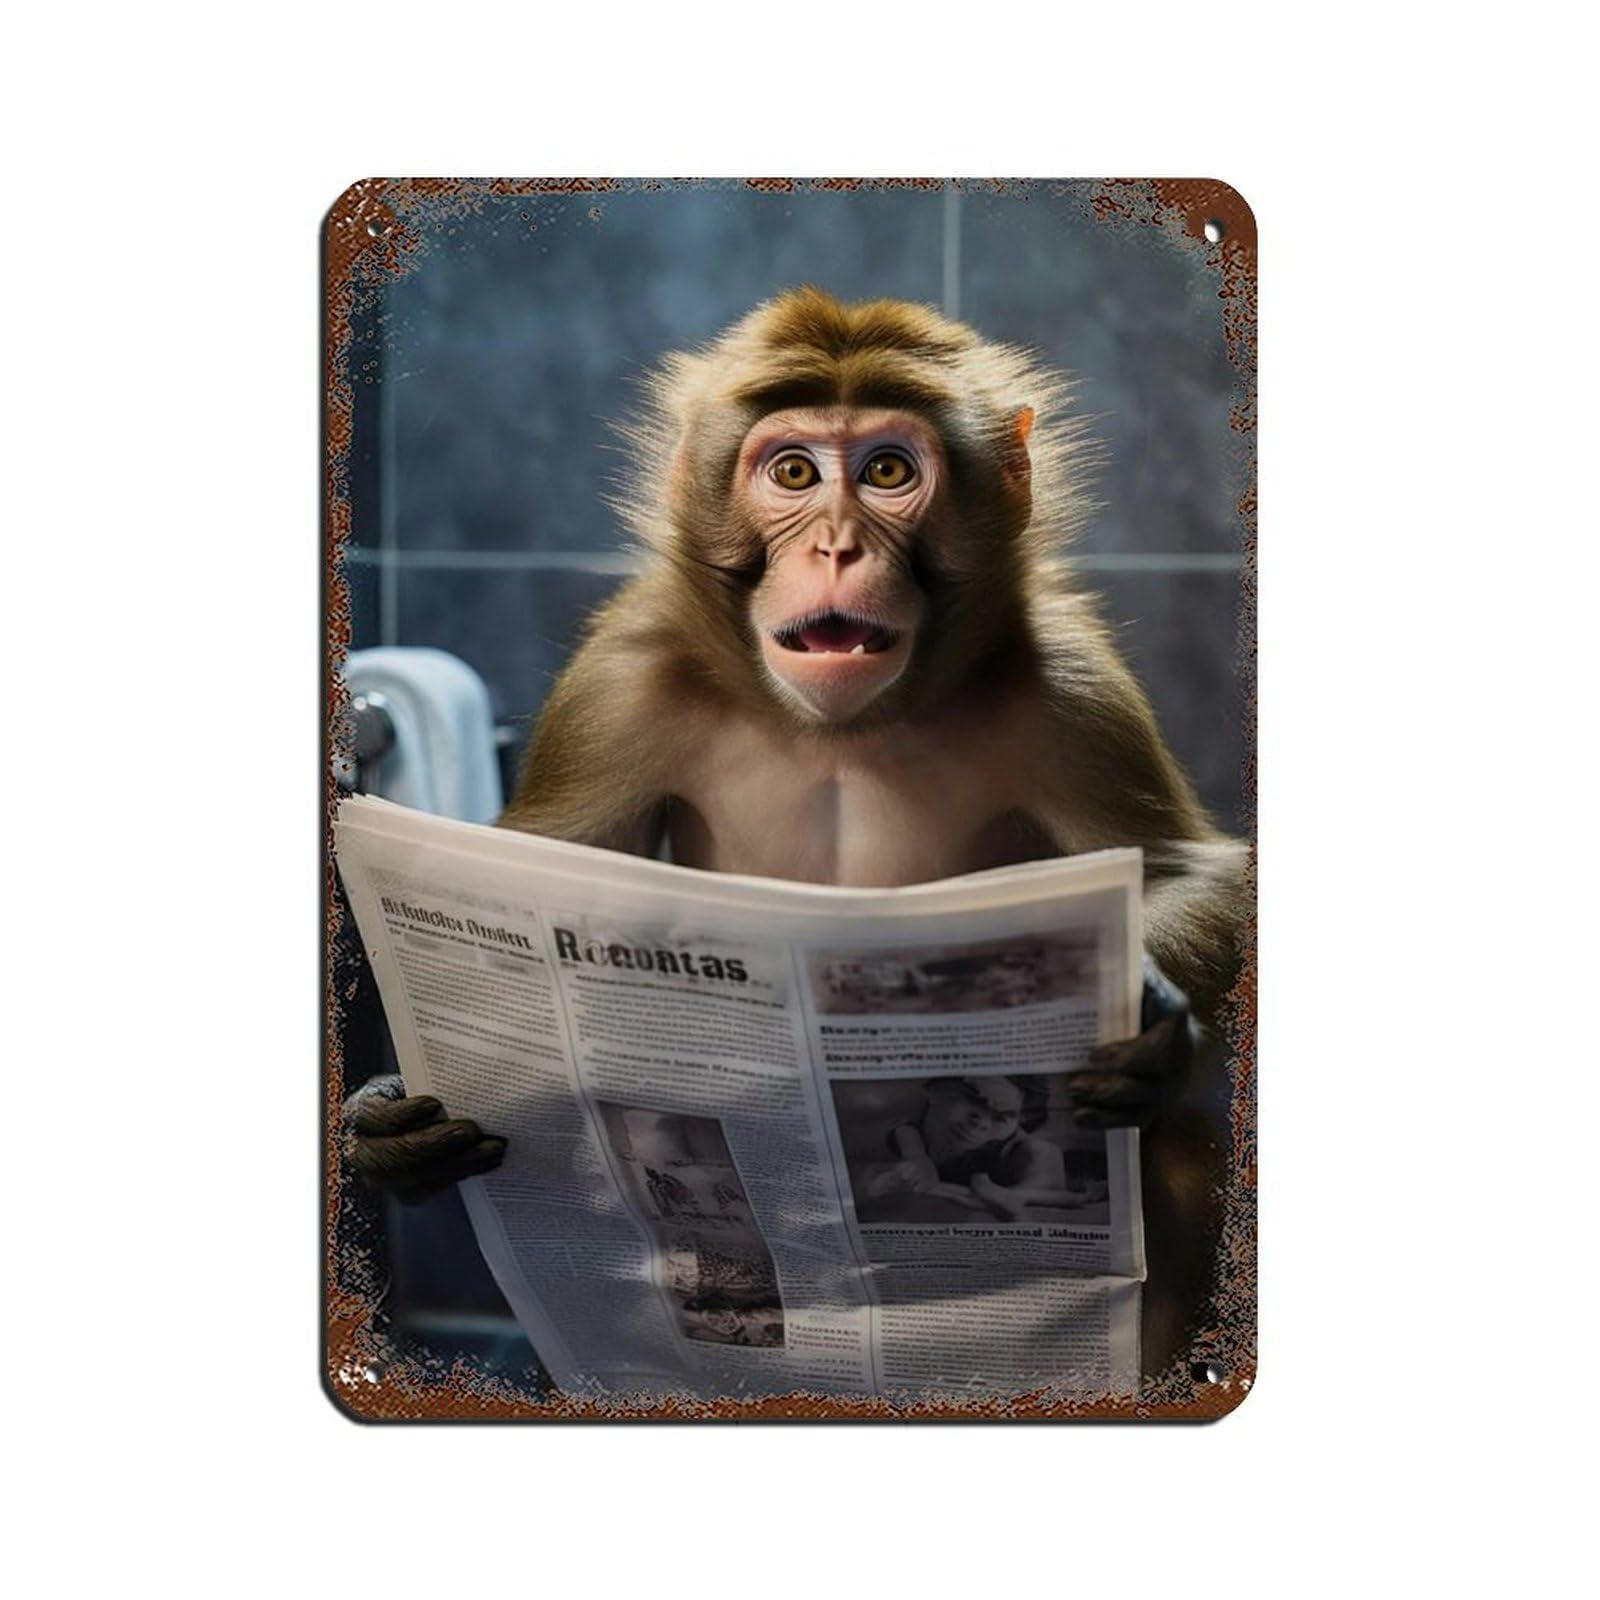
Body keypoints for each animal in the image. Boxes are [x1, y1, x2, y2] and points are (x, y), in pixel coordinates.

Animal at [345, 287, 1249, 1382]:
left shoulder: (1075, 686)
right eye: (793, 473)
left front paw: (1143, 1018)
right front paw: (386, 1120)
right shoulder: (616, 683)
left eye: (889, 472)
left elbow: (1187, 873)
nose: (837, 547)